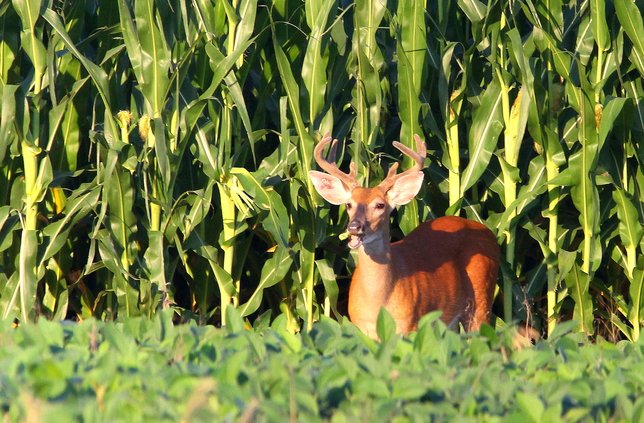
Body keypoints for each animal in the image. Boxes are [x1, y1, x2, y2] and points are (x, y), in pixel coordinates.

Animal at [309, 134, 500, 338]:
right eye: (349, 204)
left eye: (380, 205)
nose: (354, 227)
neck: (377, 305)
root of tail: (488, 232)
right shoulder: (360, 328)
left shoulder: (410, 325)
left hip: (481, 298)